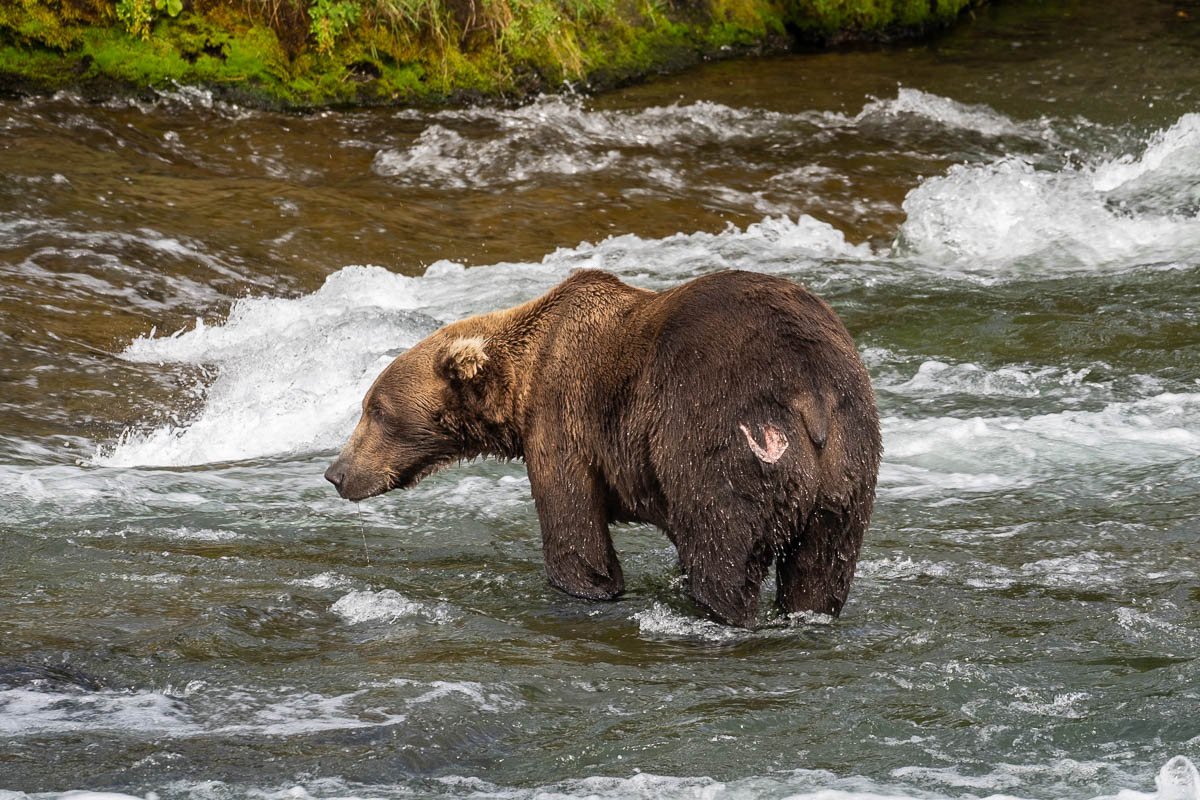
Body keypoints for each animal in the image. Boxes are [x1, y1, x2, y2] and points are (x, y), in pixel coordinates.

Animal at [326, 272, 883, 628]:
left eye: (375, 410)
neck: (520, 385)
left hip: (722, 432)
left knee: (724, 549)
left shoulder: (563, 417)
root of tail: (809, 390)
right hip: (848, 466)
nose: (335, 472)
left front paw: (587, 587)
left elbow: (574, 529)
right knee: (820, 571)